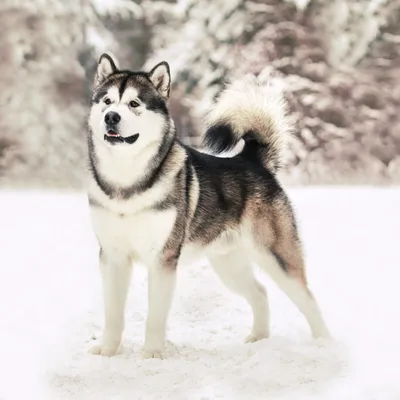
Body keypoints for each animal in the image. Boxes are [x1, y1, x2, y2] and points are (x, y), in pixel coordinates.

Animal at [87, 54, 332, 360]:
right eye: (107, 101)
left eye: (134, 103)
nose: (111, 116)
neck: (126, 181)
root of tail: (250, 159)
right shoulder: (112, 256)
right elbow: (112, 312)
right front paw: (108, 350)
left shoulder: (163, 258)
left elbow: (155, 315)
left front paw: (153, 353)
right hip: (229, 265)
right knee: (260, 292)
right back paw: (259, 337)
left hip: (278, 256)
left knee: (307, 298)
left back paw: (325, 343)